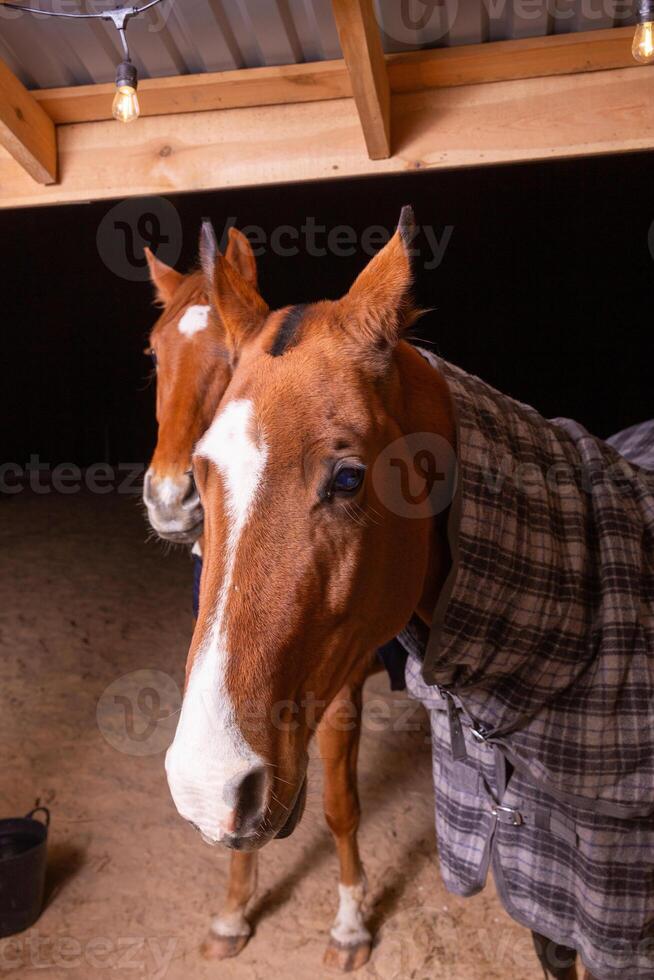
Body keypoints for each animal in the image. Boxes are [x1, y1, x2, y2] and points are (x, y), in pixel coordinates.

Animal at [167, 211, 596, 976]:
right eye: (204, 469)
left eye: (347, 477)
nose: (206, 782)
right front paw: (234, 913)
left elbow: (342, 807)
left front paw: (348, 927)